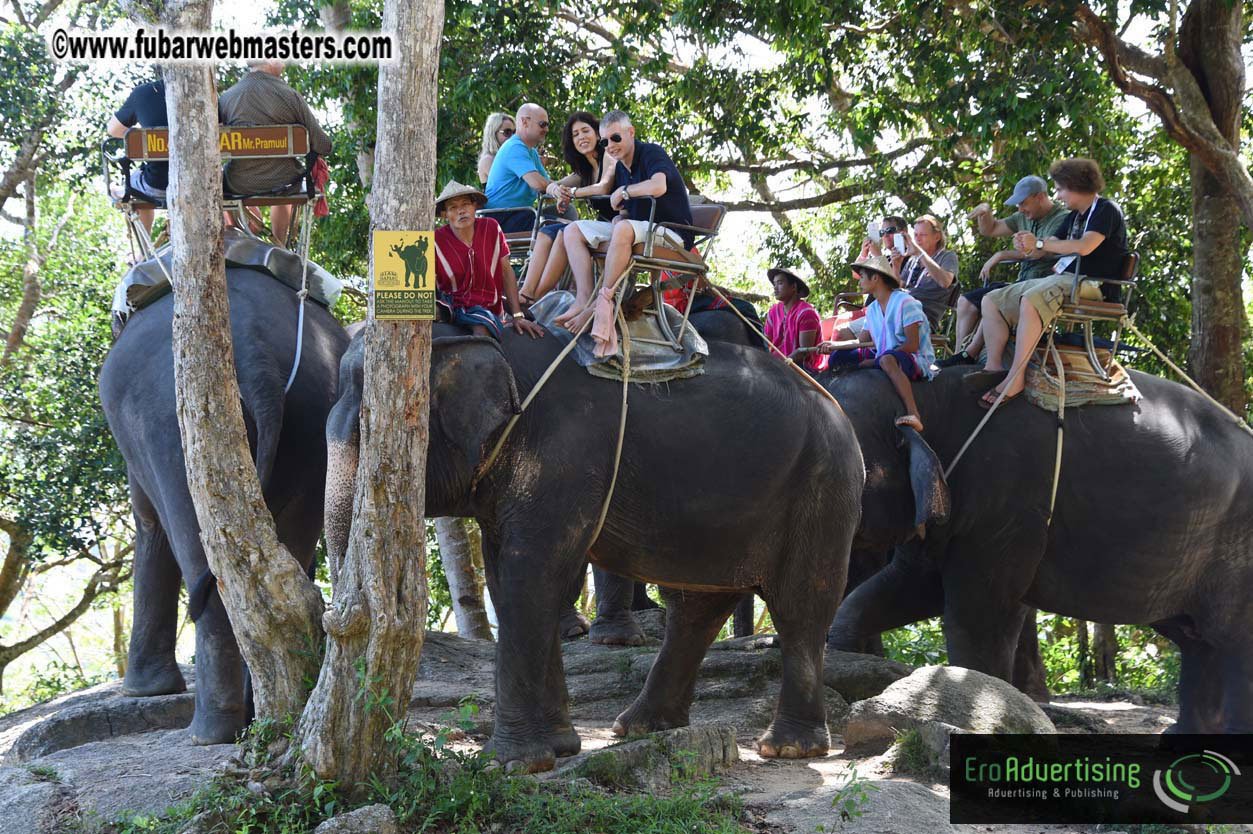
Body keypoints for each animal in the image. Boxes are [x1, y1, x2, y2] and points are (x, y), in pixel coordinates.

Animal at [99, 271, 349, 744]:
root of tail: (255, 356)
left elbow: (149, 525)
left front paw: (142, 693)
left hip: (172, 425)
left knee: (206, 561)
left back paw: (209, 733)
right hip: (316, 419)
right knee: (283, 559)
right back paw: (259, 716)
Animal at [325, 323, 865, 771]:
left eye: (370, 431)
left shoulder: (562, 460)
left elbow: (533, 573)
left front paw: (509, 764)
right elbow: (508, 578)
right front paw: (560, 748)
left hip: (823, 488)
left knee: (801, 605)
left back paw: (788, 748)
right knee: (699, 605)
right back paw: (640, 726)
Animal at [822, 366, 1253, 732]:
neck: (924, 394)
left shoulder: (1010, 503)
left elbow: (978, 615)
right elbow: (905, 589)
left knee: (1231, 642)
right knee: (1195, 639)